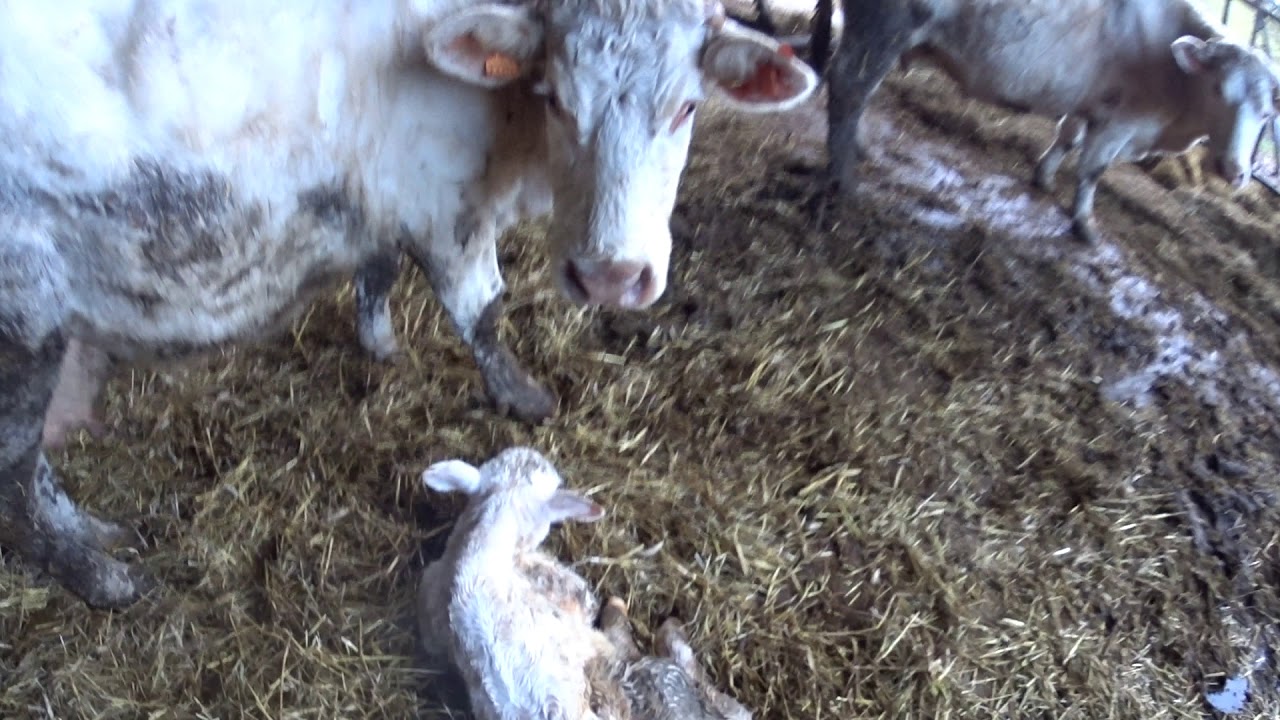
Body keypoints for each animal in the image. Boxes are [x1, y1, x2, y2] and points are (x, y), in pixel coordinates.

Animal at [0, 0, 818, 609]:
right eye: (556, 97)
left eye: (687, 106)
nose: (611, 276)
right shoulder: (446, 208)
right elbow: (481, 309)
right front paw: (521, 396)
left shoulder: (386, 202)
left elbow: (378, 266)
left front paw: (380, 340)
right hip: (25, 312)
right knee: (14, 460)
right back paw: (98, 576)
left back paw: (93, 531)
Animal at [823, 0, 1280, 243]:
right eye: (1219, 90)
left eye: (1266, 112)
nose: (1233, 170)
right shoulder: (1120, 121)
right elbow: (1093, 169)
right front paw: (1084, 223)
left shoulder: (1088, 103)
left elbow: (1067, 137)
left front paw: (1042, 177)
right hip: (883, 28)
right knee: (848, 83)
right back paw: (841, 177)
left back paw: (858, 146)